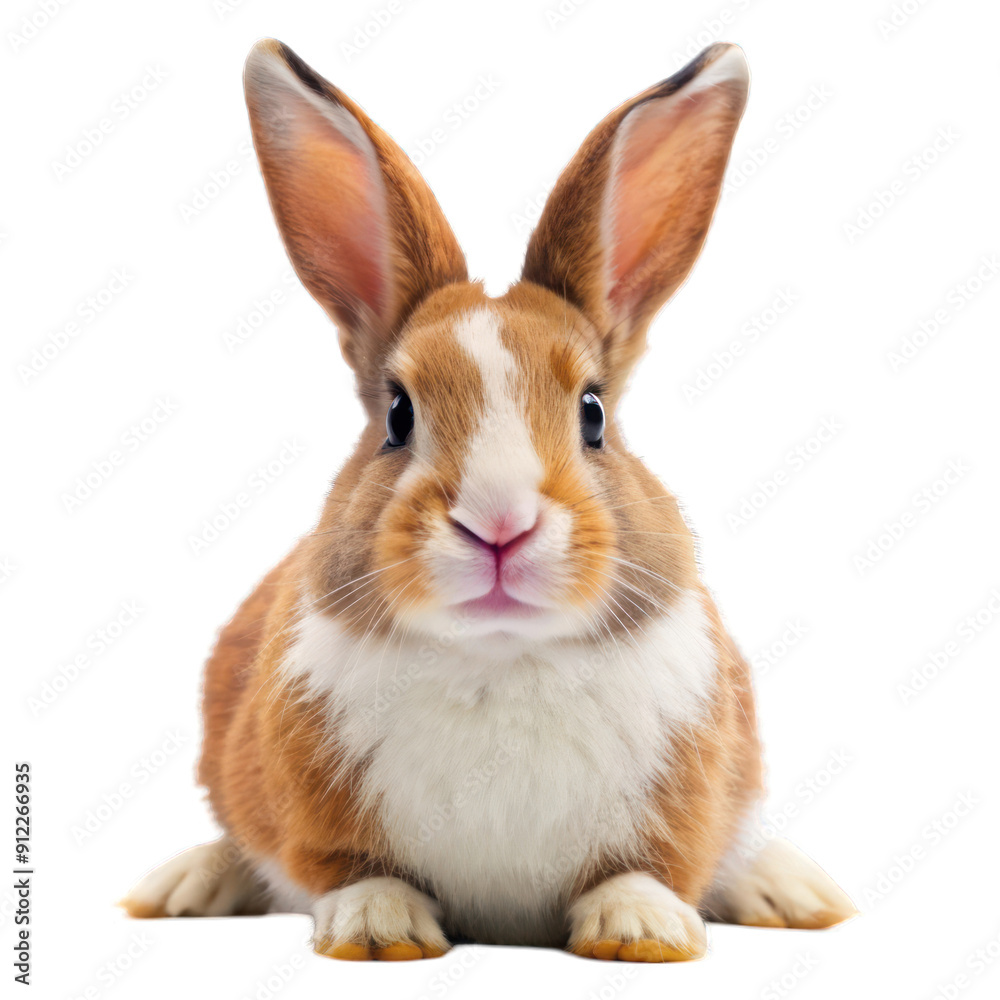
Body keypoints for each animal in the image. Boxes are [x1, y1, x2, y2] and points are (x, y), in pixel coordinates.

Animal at [121, 38, 856, 961]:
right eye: (398, 415)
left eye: (593, 414)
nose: (500, 525)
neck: (502, 658)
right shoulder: (304, 800)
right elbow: (350, 869)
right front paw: (378, 929)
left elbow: (646, 868)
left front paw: (642, 930)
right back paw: (182, 886)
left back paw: (791, 891)